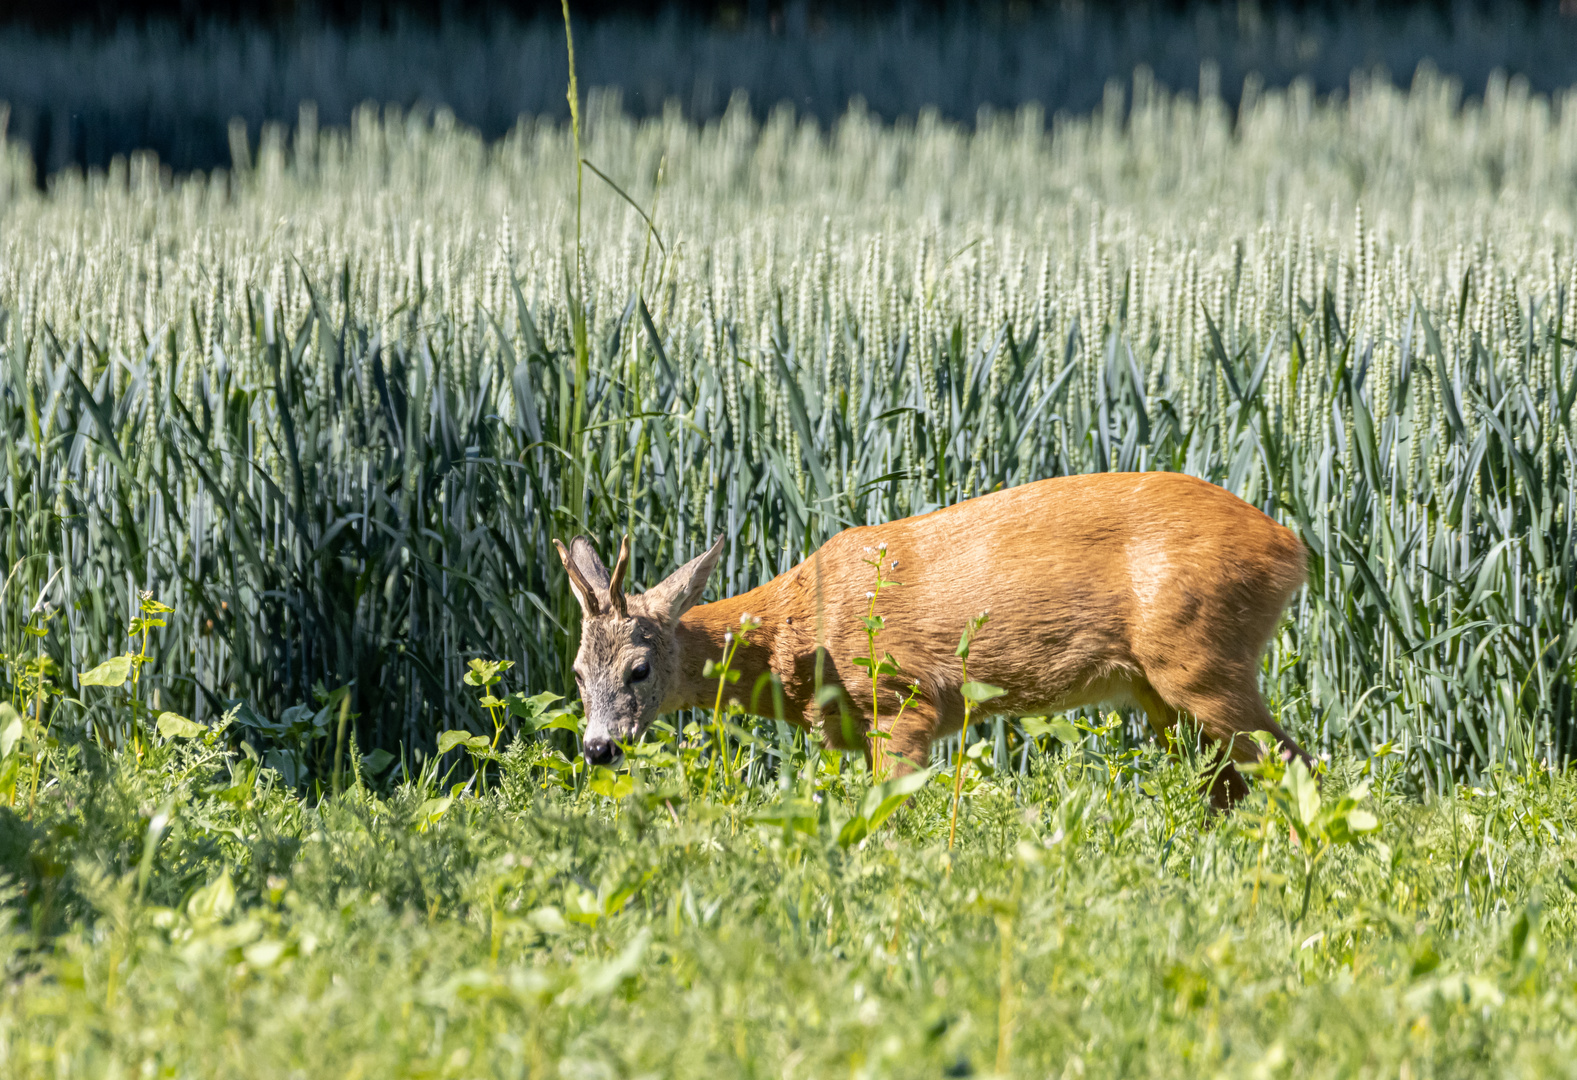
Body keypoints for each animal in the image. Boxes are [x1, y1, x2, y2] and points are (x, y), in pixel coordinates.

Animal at [555, 466, 1305, 804]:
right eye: (577, 673)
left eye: (639, 668)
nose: (597, 748)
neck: (800, 626)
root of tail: (1292, 546)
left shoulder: (901, 700)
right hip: (1161, 691)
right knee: (1228, 784)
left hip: (1201, 656)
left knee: (1296, 762)